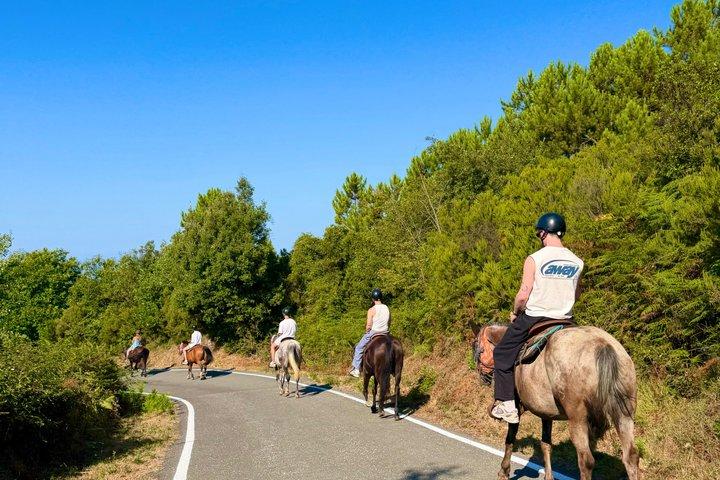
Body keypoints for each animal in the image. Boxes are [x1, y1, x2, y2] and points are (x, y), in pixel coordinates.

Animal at [472, 323, 639, 480]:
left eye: (475, 346)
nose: (483, 378)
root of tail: (602, 343)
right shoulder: (546, 414)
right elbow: (546, 444)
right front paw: (548, 475)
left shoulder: (517, 408)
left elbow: (510, 438)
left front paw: (504, 471)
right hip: (624, 414)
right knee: (631, 457)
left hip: (578, 419)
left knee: (586, 461)